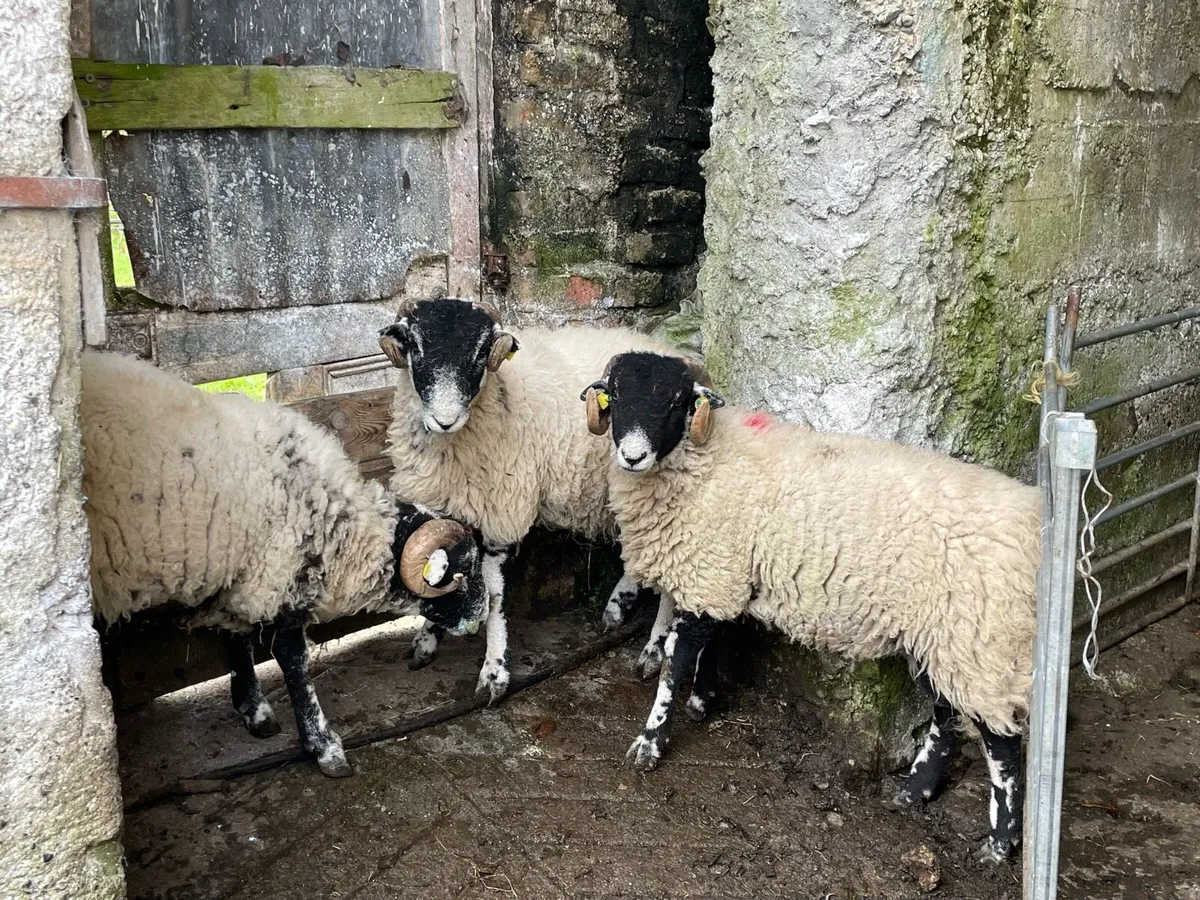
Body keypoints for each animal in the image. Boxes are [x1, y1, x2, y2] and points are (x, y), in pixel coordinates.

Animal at [81, 349, 488, 777]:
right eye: (459, 572)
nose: (481, 616)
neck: (336, 520)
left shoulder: (244, 573)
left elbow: (239, 639)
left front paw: (254, 711)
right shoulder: (281, 573)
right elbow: (293, 661)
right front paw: (323, 745)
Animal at [378, 297, 684, 702]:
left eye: (481, 352)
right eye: (415, 345)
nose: (445, 420)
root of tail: (673, 352)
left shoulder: (502, 517)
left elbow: (494, 597)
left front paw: (494, 673)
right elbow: (437, 578)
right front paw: (426, 642)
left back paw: (653, 650)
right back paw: (619, 607)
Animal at [580, 351, 1042, 863]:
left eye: (676, 401)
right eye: (615, 394)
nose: (632, 456)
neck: (707, 458)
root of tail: (1031, 519)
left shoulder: (712, 570)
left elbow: (675, 661)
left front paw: (651, 742)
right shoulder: (719, 574)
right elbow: (708, 643)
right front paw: (703, 699)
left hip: (982, 641)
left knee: (1002, 743)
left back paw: (999, 844)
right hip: (942, 638)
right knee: (945, 713)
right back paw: (913, 793)